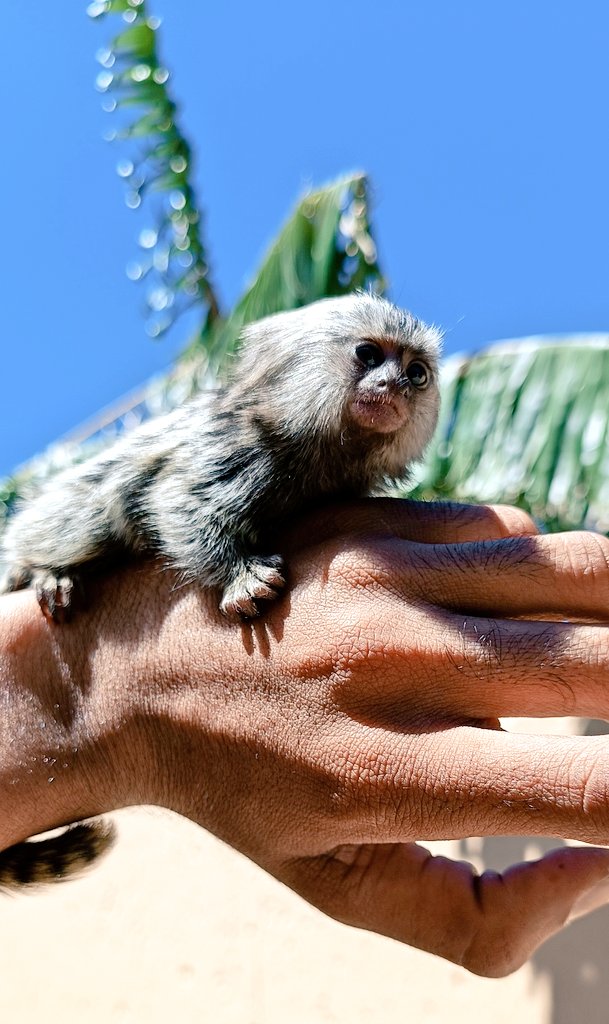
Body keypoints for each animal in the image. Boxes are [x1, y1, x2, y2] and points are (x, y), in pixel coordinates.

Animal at [0, 291, 442, 888]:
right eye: (369, 355)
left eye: (417, 373)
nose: (395, 385)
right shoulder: (235, 451)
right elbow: (175, 500)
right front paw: (241, 580)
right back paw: (45, 572)